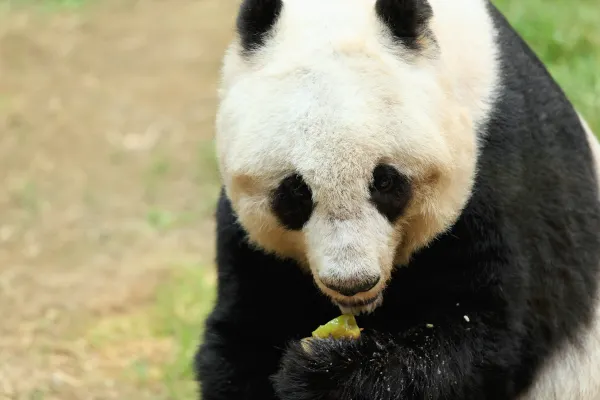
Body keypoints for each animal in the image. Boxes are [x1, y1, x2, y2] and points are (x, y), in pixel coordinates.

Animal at [195, 0, 600, 398]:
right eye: (296, 191)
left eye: (386, 182)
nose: (353, 283)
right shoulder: (250, 242)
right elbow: (243, 334)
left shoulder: (500, 172)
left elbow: (480, 339)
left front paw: (326, 373)